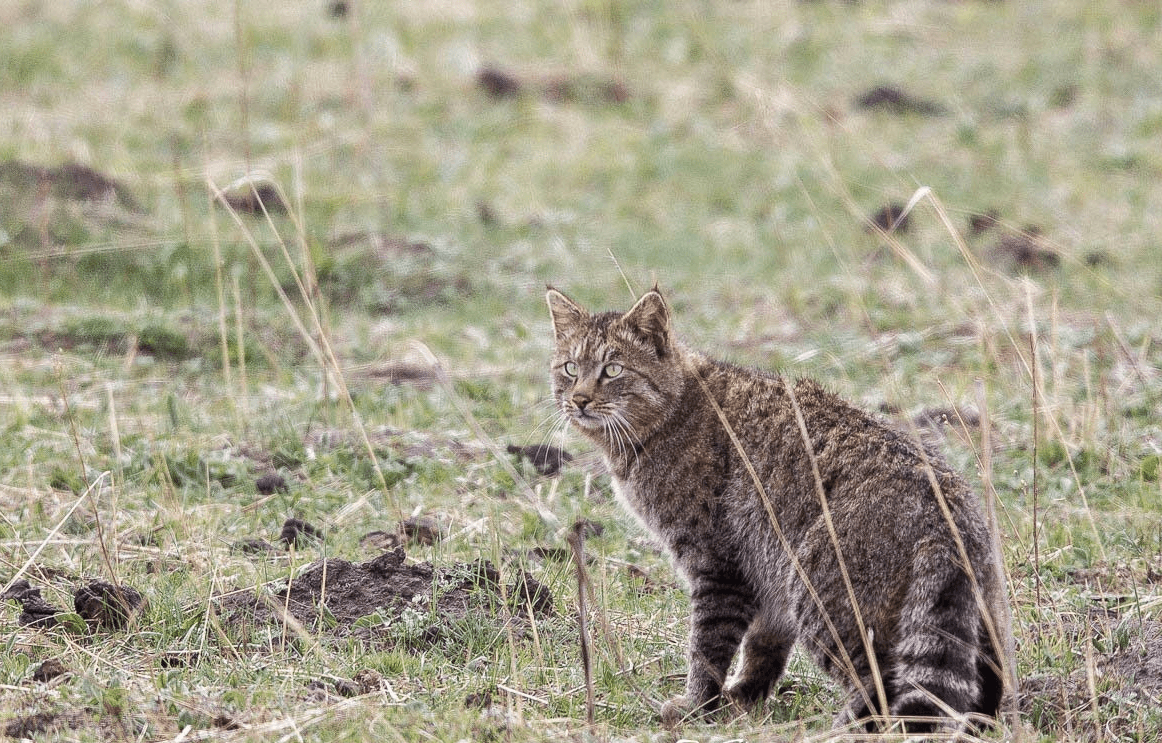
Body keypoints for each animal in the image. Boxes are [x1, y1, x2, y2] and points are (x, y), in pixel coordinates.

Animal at [543, 286, 1008, 734]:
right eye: (570, 368)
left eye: (613, 370)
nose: (579, 399)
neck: (668, 414)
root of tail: (943, 503)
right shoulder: (765, 572)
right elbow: (763, 644)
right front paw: (744, 695)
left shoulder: (717, 564)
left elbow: (707, 648)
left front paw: (697, 705)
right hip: (969, 613)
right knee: (982, 678)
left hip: (825, 595)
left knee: (879, 680)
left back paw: (842, 727)